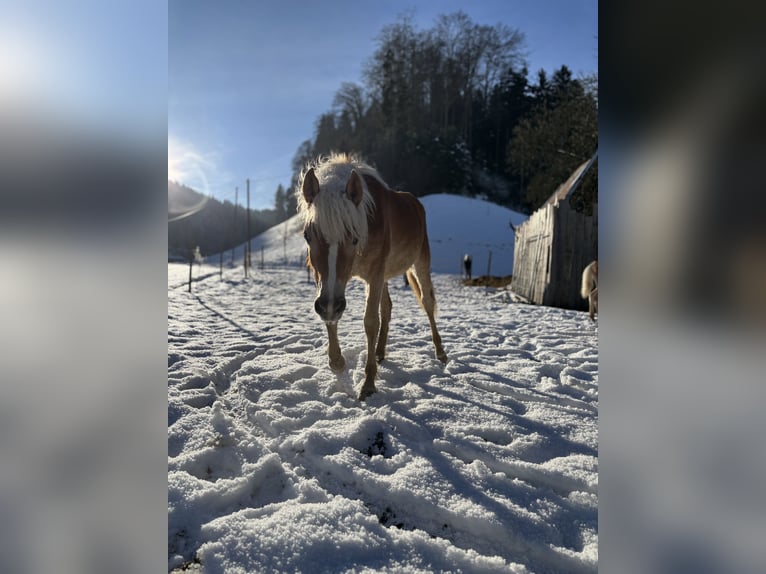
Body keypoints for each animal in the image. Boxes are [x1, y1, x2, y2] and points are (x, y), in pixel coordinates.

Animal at [296, 155, 450, 402]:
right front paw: (337, 361)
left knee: (427, 303)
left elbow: (370, 322)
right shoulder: (330, 283)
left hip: (420, 262)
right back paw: (379, 352)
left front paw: (368, 384)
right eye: (307, 236)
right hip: (385, 277)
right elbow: (334, 317)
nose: (329, 305)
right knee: (387, 307)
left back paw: (440, 352)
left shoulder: (374, 276)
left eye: (354, 239)